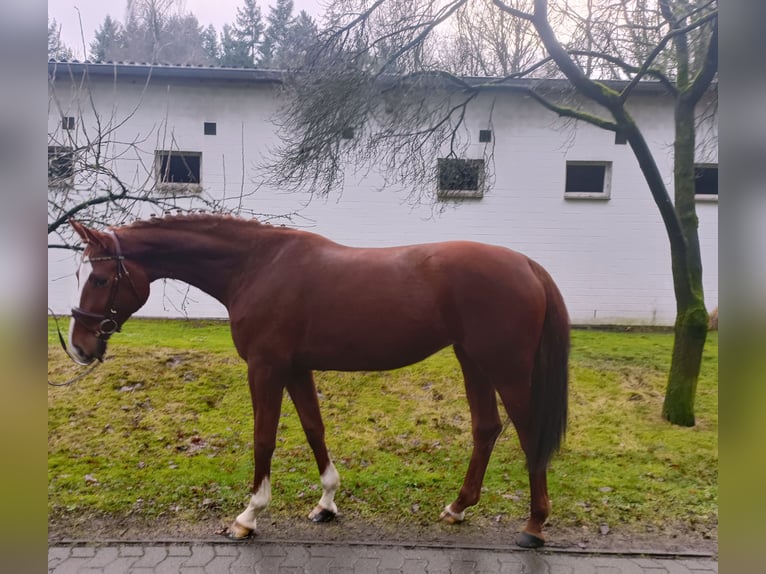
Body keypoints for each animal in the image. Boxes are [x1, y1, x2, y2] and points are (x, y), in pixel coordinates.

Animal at [67, 216, 568, 548]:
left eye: (99, 277)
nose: (79, 346)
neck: (256, 266)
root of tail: (527, 264)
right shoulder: (295, 368)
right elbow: (313, 429)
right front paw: (326, 503)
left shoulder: (265, 367)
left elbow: (264, 438)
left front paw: (249, 515)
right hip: (473, 361)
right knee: (486, 429)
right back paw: (457, 508)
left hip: (505, 368)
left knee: (529, 434)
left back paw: (534, 526)